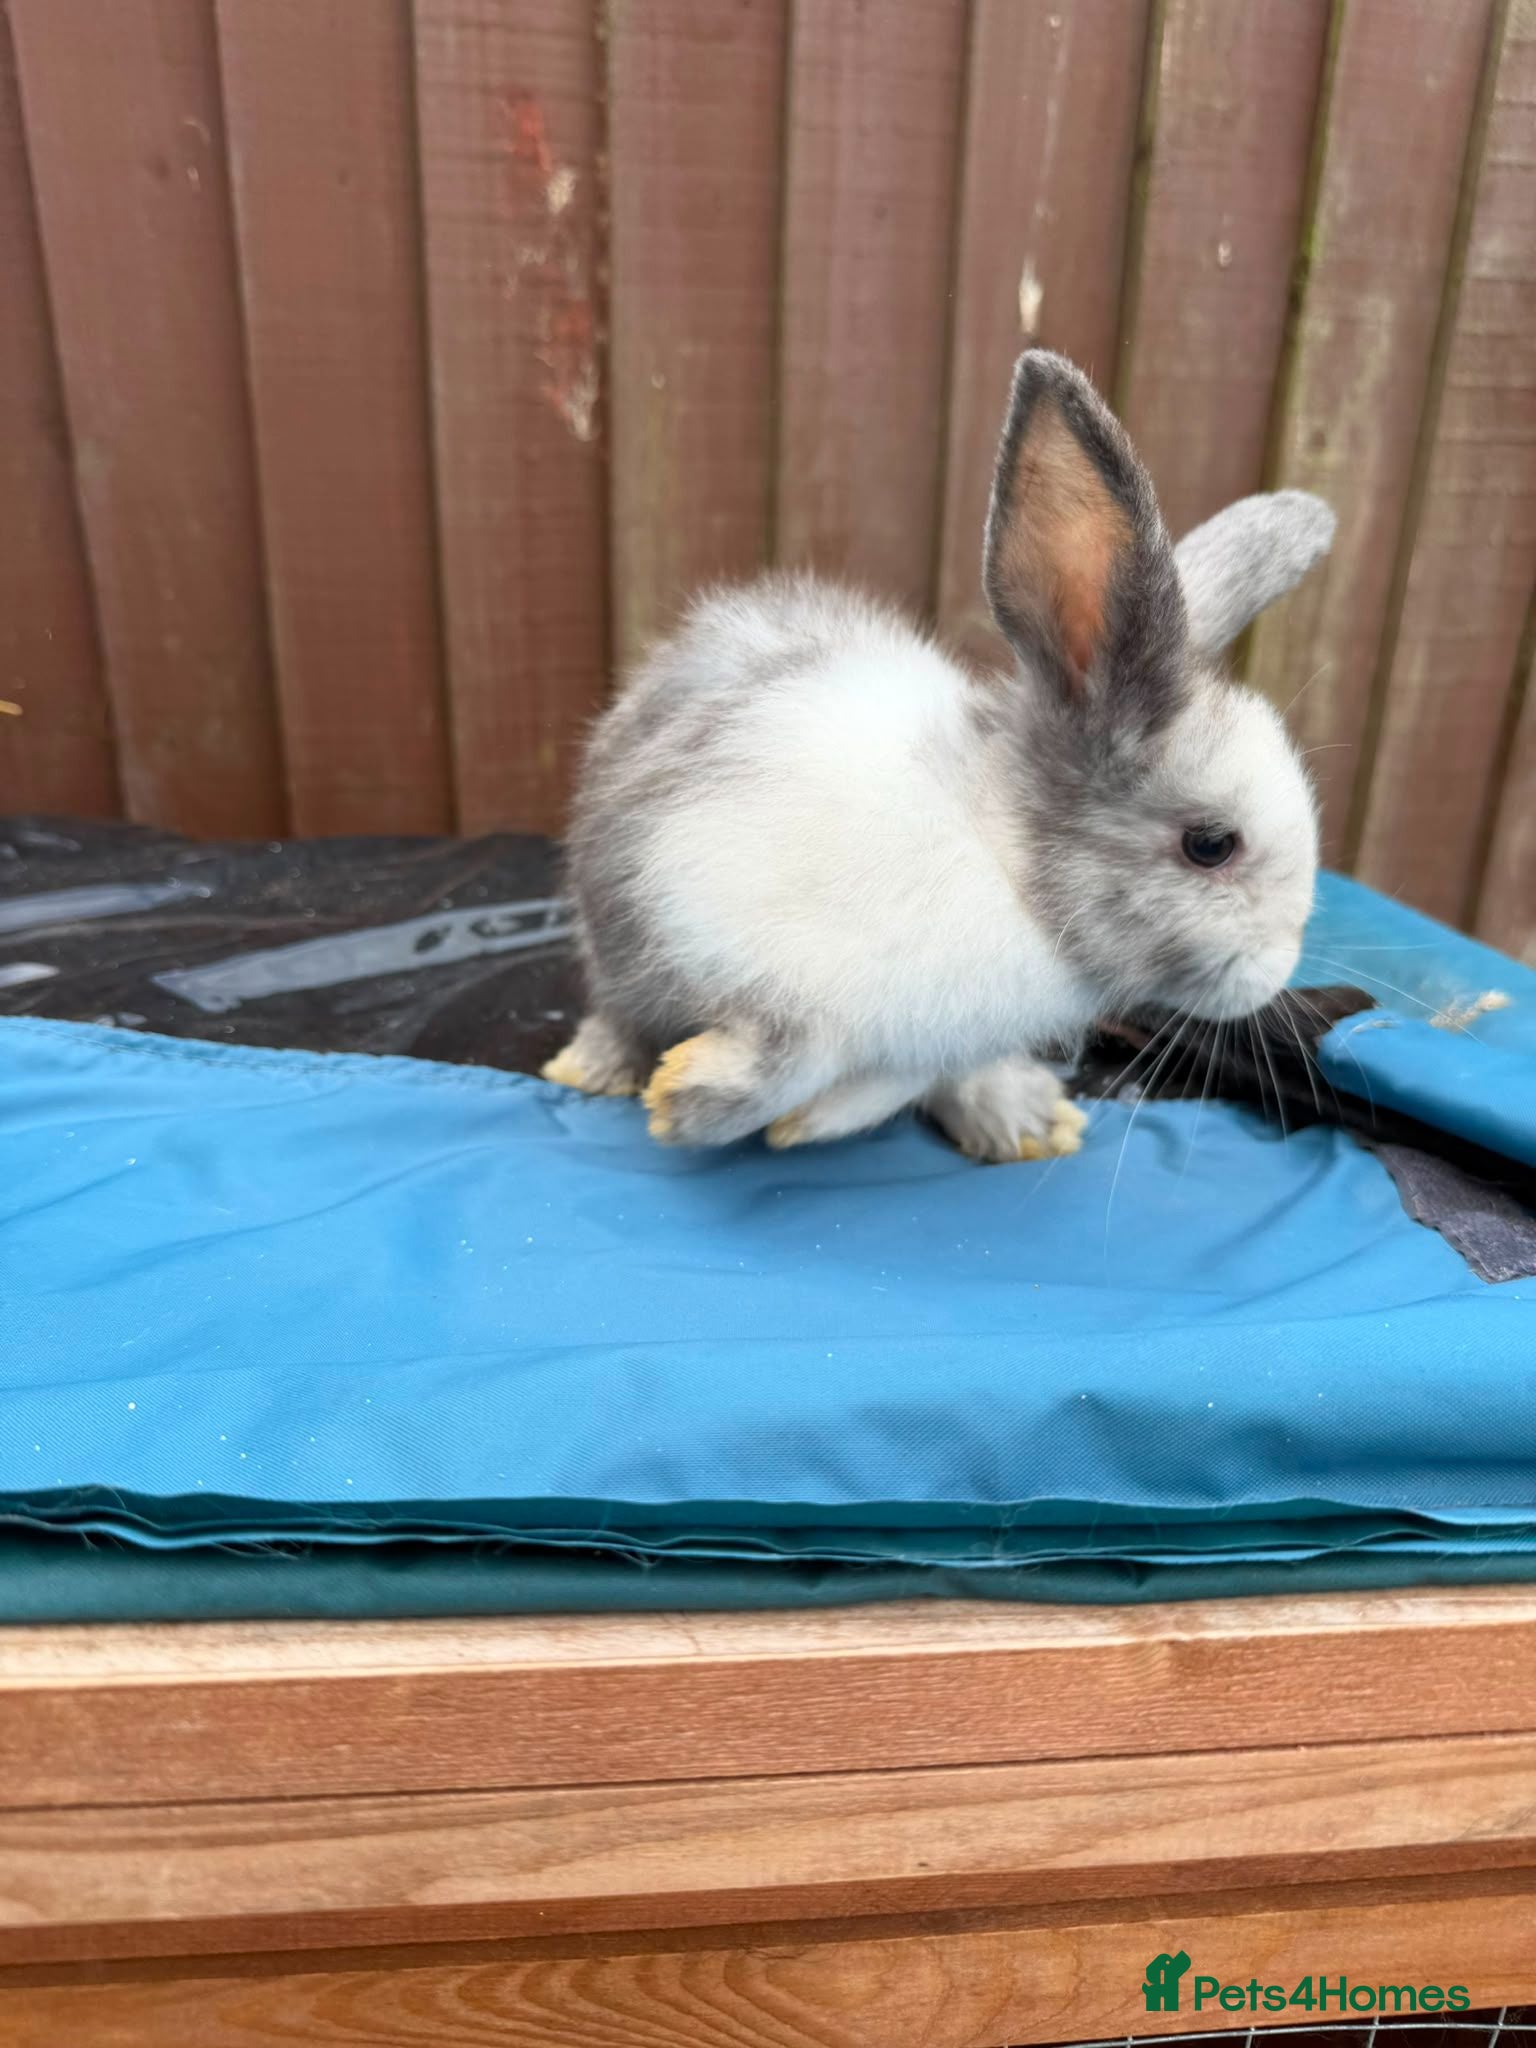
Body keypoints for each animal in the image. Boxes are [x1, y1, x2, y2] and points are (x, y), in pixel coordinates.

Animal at [544, 349, 1334, 1162]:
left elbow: (882, 1078)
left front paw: (799, 1122)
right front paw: (684, 1102)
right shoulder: (706, 901)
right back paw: (594, 1069)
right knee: (619, 1008)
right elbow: (796, 1050)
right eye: (1210, 845)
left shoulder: (922, 1042)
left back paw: (1022, 1121)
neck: (1002, 867)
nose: (1276, 972)